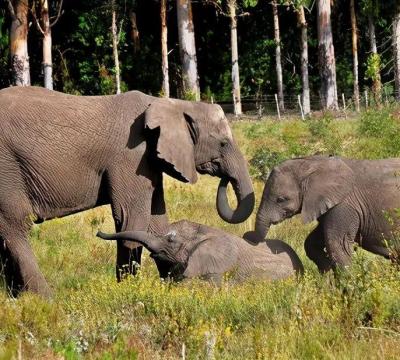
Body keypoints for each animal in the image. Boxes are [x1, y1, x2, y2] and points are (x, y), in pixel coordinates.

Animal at [0, 86, 255, 296]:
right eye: (223, 143)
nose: (225, 179)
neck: (169, 104)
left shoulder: (150, 161)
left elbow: (157, 222)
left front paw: (171, 288)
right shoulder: (131, 156)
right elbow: (132, 220)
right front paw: (129, 290)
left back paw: (14, 297)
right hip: (7, 168)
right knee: (15, 225)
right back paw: (44, 298)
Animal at [244, 156, 400, 272]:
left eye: (281, 199)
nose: (247, 235)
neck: (313, 163)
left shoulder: (344, 205)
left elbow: (338, 246)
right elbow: (311, 243)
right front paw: (328, 278)